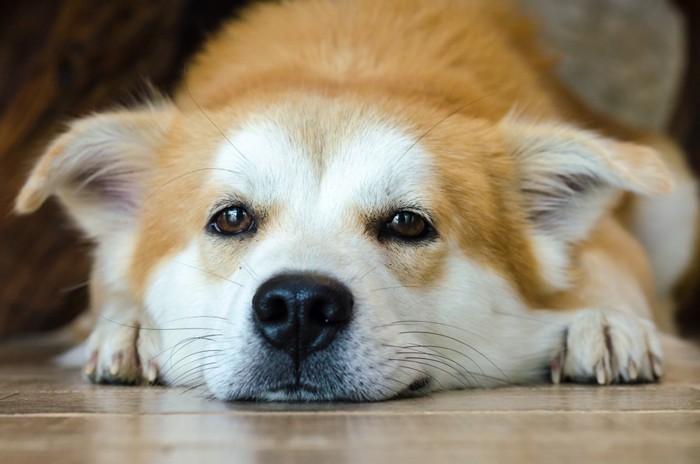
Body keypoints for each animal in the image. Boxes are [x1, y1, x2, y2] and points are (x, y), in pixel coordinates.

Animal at [13, 0, 696, 400]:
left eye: (408, 224)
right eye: (231, 218)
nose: (296, 308)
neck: (346, 62)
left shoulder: (616, 238)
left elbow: (608, 270)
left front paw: (601, 320)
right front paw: (133, 328)